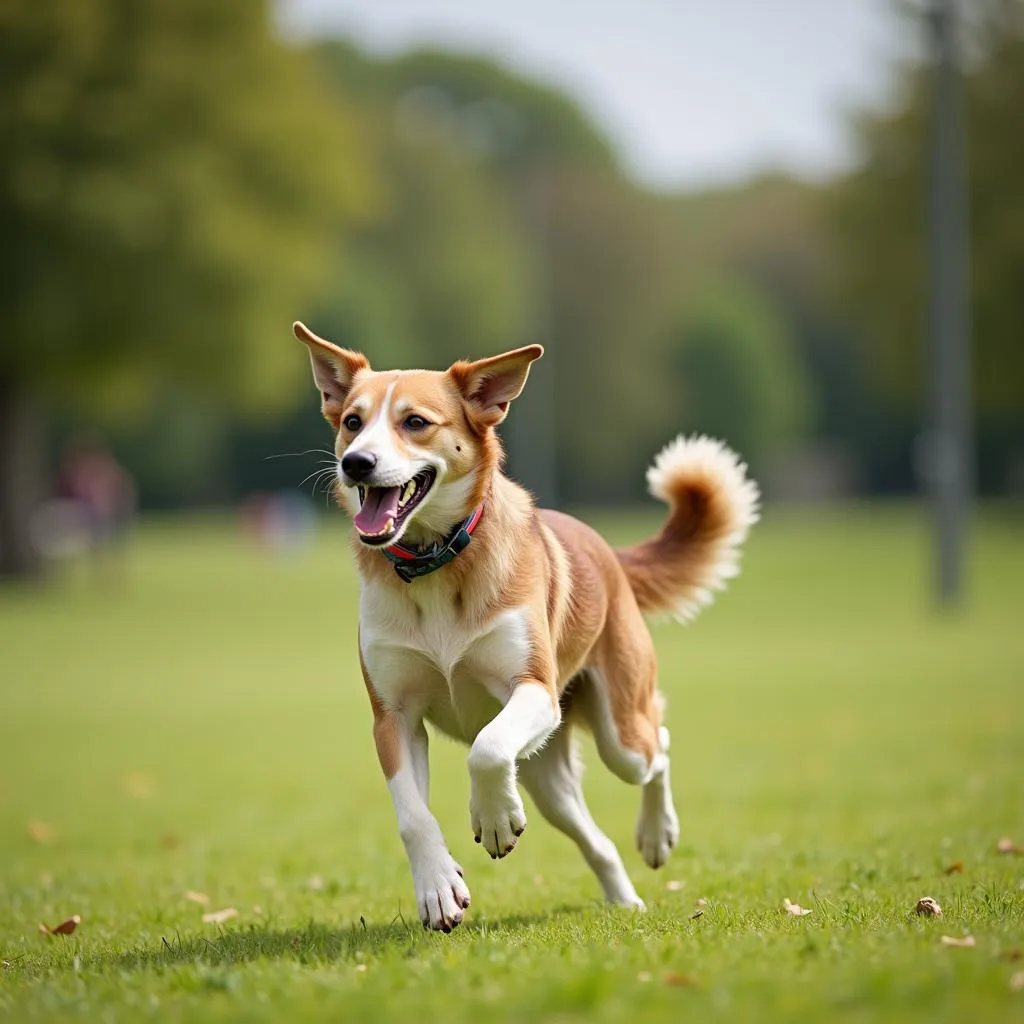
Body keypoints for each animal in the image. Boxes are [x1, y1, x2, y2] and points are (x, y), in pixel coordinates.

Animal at [292, 319, 757, 929]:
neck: (436, 564)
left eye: (415, 422)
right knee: (595, 839)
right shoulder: (393, 717)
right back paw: (624, 898)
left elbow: (486, 749)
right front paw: (439, 889)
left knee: (658, 744)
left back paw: (657, 835)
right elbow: (413, 815)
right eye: (353, 421)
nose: (356, 464)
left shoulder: (532, 688)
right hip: (544, 776)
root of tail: (607, 550)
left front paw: (491, 821)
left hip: (615, 730)